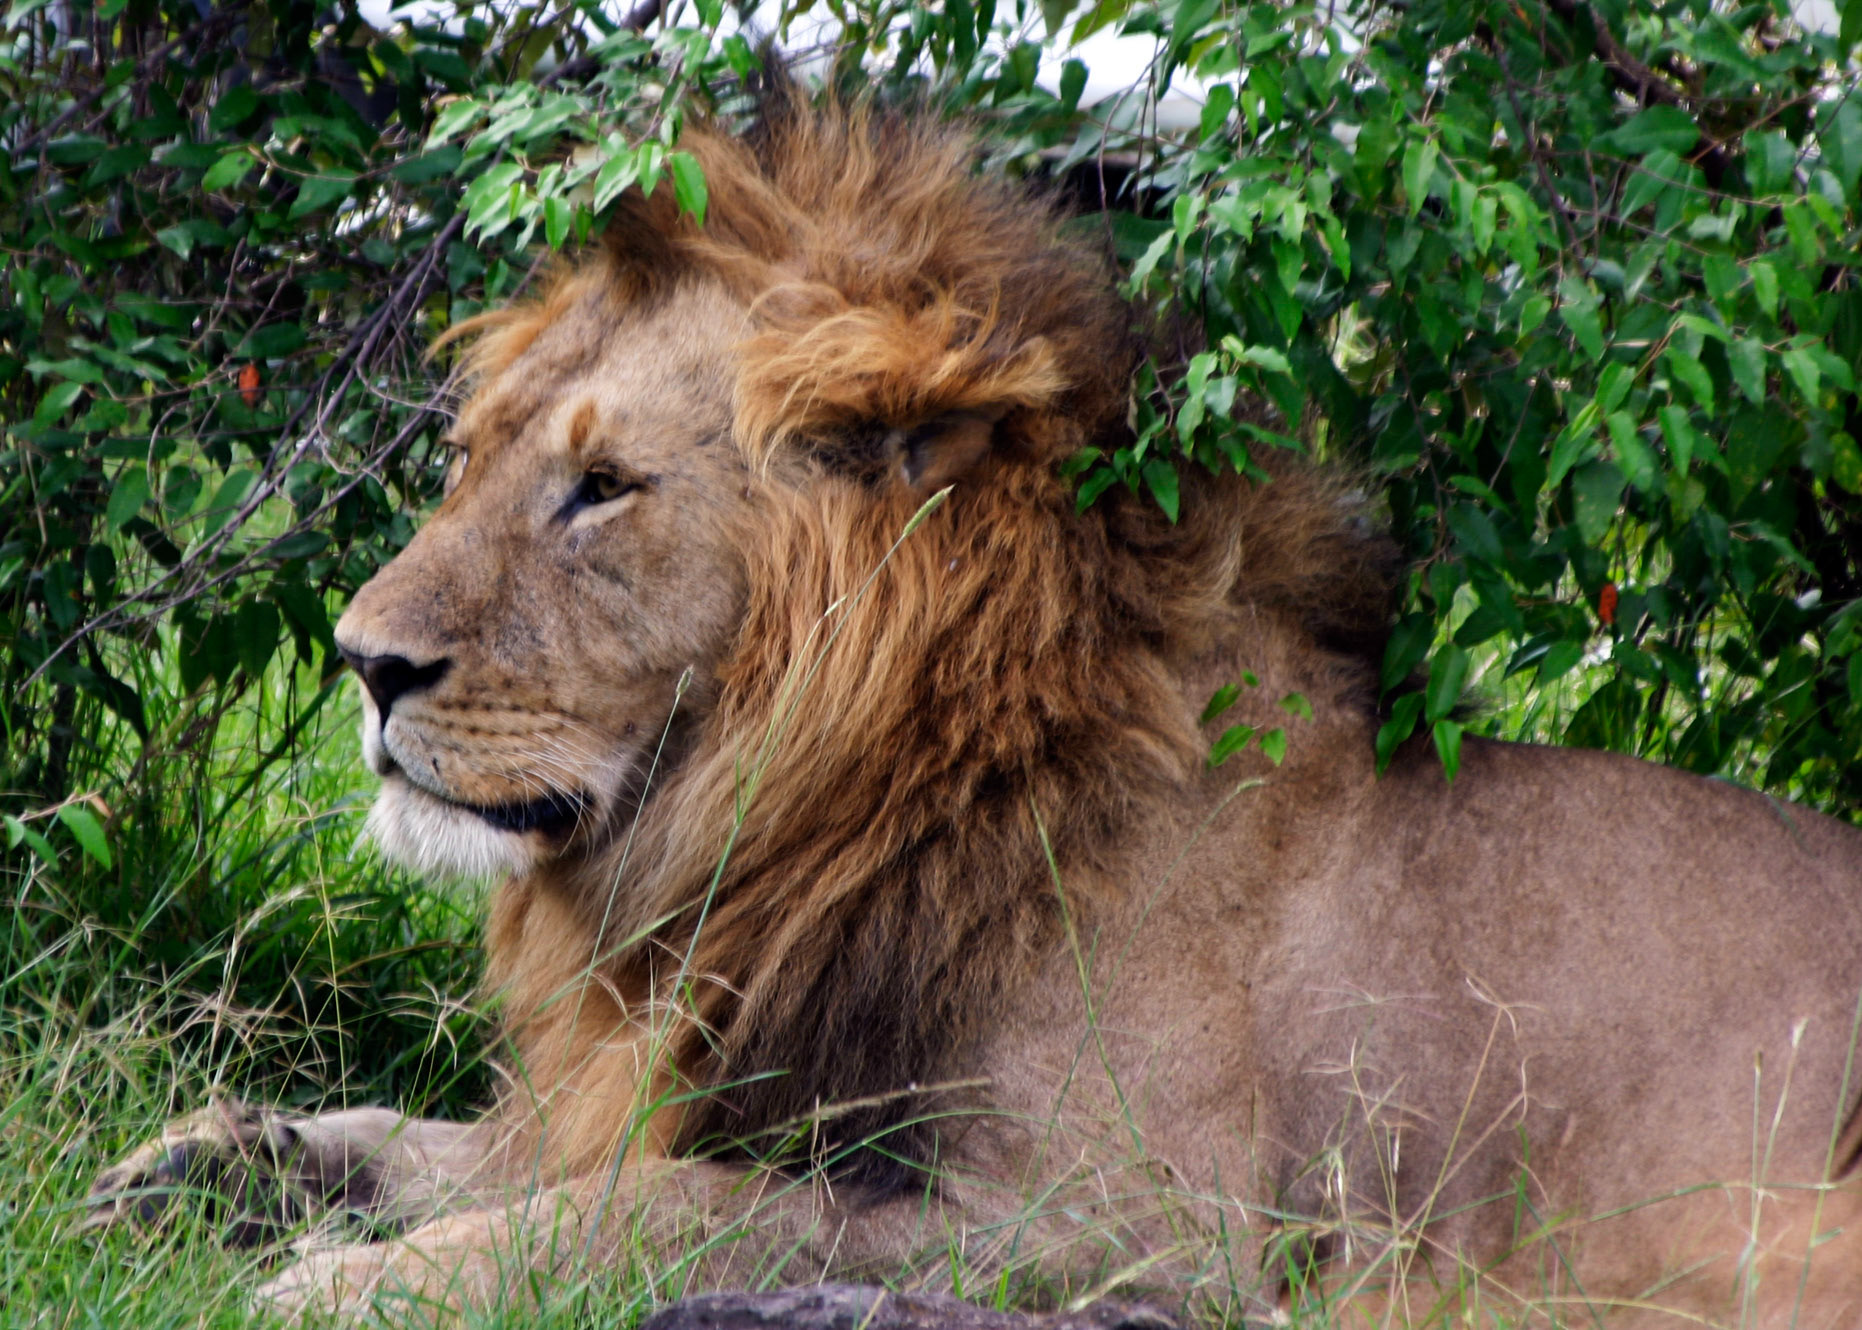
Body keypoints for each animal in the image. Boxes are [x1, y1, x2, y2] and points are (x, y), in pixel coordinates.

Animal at [87, 95, 1862, 1328]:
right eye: (472, 457)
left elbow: (659, 1205)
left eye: (602, 488)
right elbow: (438, 1137)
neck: (814, 814)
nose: (361, 659)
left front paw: (335, 1281)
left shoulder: (1133, 1217)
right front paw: (198, 1169)